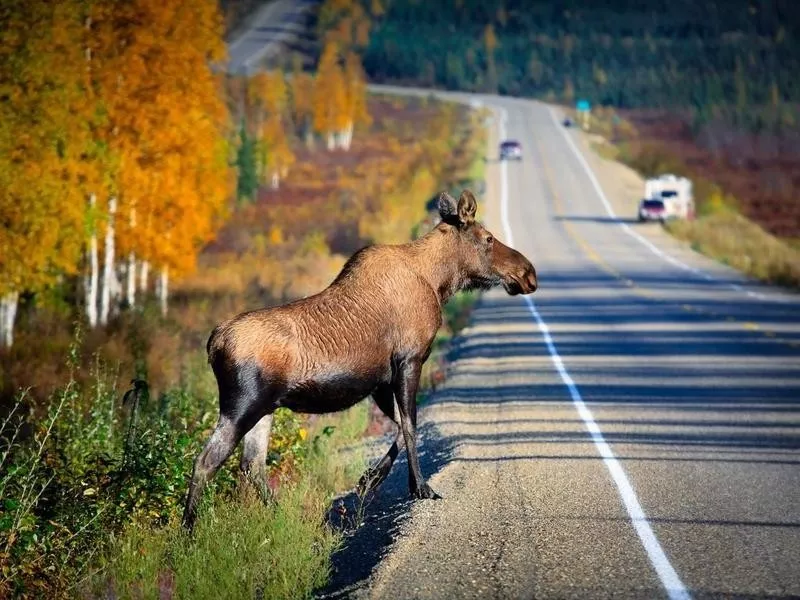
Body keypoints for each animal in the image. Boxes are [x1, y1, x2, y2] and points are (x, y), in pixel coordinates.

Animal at [178, 189, 536, 528]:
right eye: (488, 238)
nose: (528, 273)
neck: (439, 283)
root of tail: (213, 343)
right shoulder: (409, 360)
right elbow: (411, 424)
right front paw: (420, 487)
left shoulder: (381, 380)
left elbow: (400, 426)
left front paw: (369, 480)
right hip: (242, 406)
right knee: (205, 462)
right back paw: (188, 532)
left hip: (265, 409)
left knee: (252, 465)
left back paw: (282, 518)